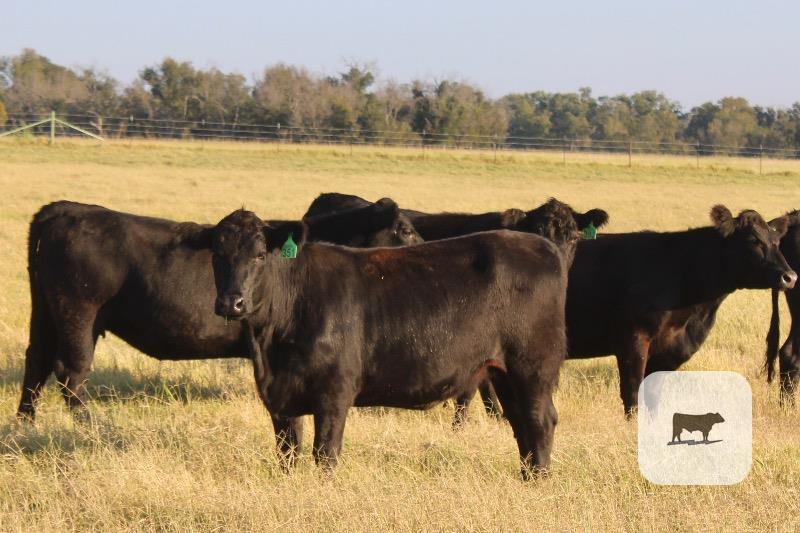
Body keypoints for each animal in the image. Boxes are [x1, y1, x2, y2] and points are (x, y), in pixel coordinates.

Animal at [17, 198, 421, 420]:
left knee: (36, 362)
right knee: (71, 373)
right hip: (78, 313)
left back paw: (25, 424)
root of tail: (62, 209)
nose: (423, 244)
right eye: (404, 229)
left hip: (46, 314)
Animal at [205, 209, 571, 479]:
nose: (231, 302)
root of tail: (543, 246)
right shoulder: (281, 401)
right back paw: (527, 477)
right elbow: (287, 454)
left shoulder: (334, 393)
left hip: (533, 366)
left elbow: (325, 454)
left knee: (540, 421)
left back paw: (539, 481)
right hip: (503, 372)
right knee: (521, 423)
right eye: (218, 254)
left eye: (259, 254)